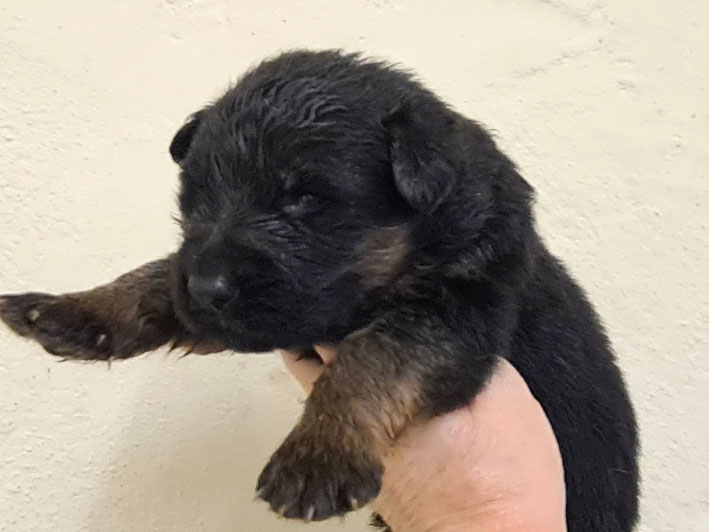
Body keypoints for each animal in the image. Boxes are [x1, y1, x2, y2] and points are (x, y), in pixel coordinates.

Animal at [0, 50, 639, 531]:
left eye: (304, 198)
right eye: (194, 197)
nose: (206, 287)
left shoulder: (457, 311)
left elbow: (374, 356)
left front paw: (318, 457)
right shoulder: (264, 318)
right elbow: (157, 278)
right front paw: (65, 312)